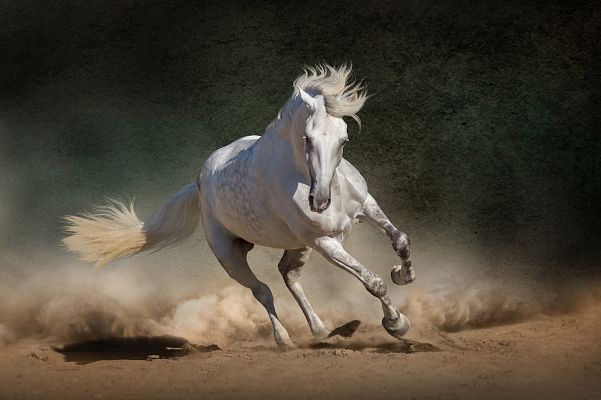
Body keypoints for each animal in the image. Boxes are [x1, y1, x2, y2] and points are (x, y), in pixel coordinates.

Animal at [64, 64, 412, 348]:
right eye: (307, 138)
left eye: (343, 140)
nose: (320, 202)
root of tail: (200, 182)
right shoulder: (324, 241)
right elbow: (373, 282)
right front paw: (397, 324)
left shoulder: (366, 207)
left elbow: (400, 240)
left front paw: (403, 275)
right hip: (231, 254)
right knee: (263, 290)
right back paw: (286, 340)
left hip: (297, 245)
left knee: (288, 275)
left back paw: (325, 330)